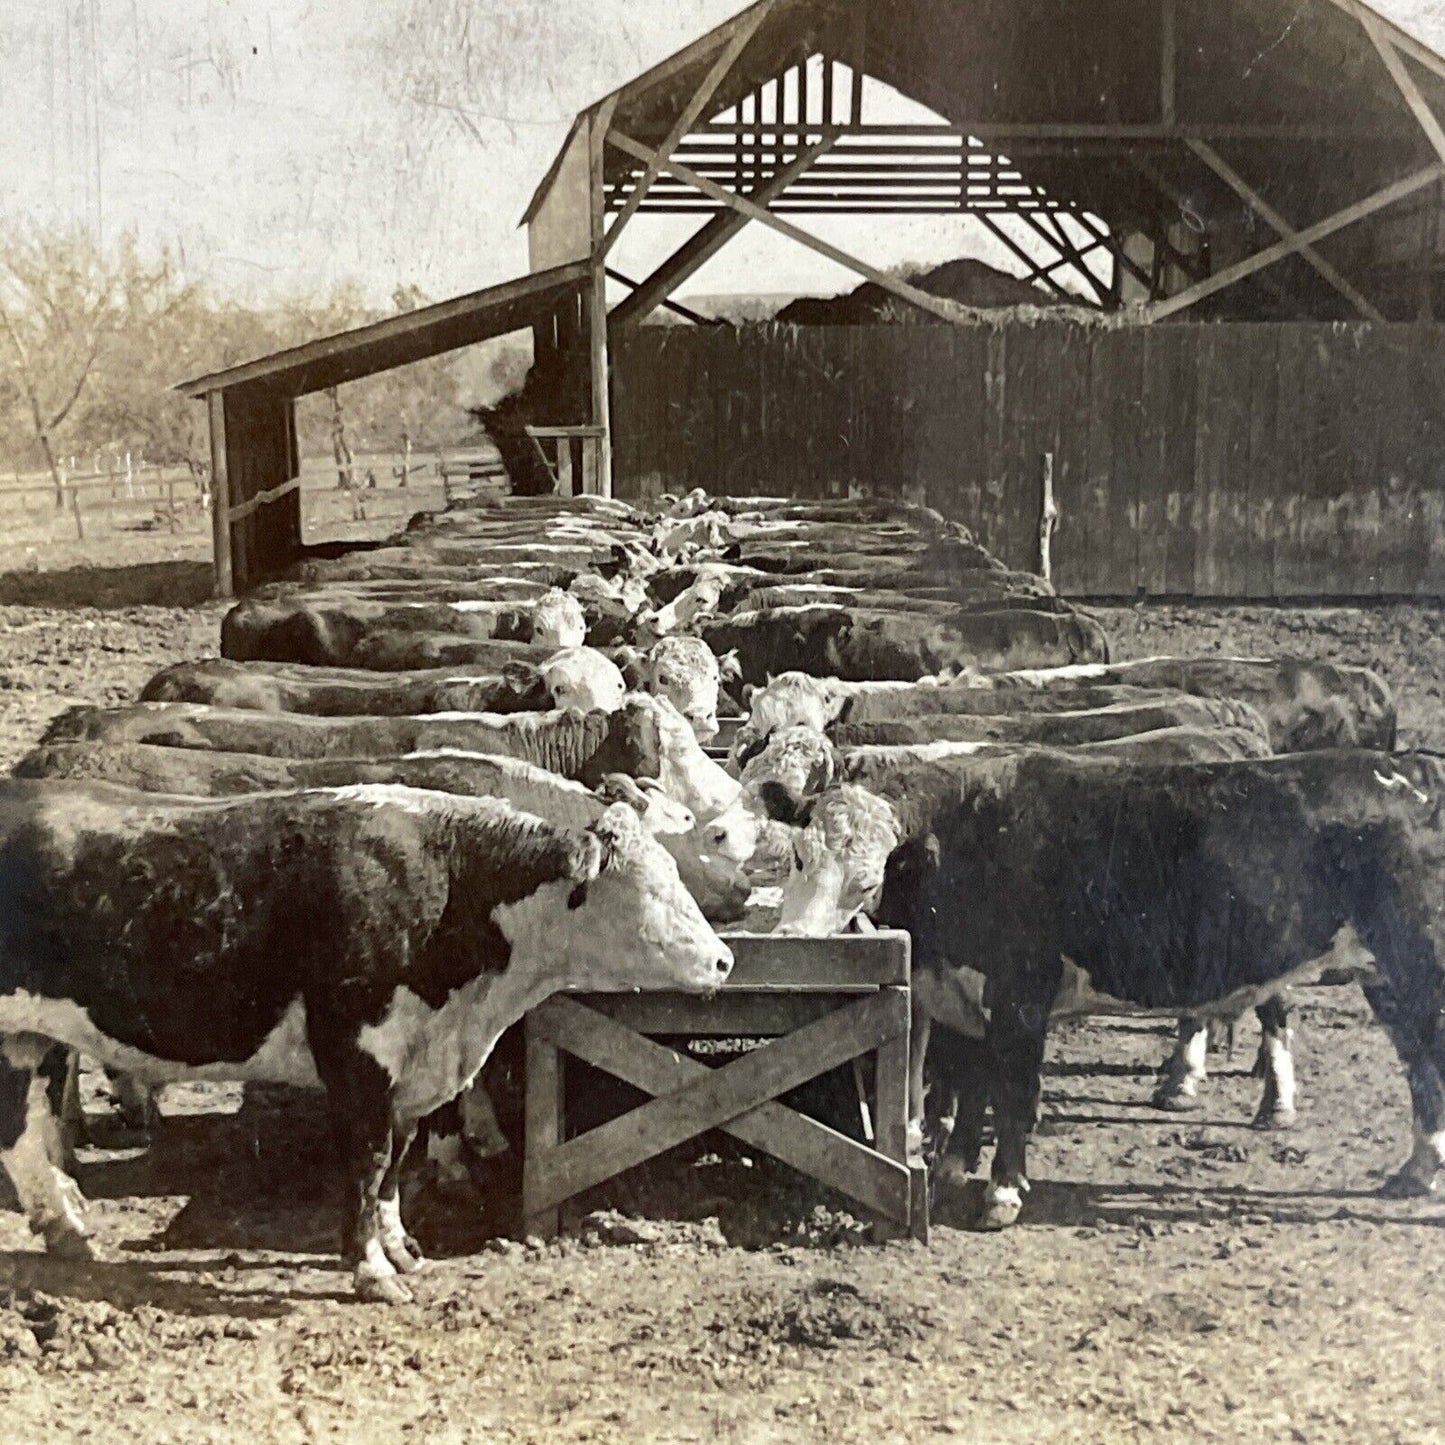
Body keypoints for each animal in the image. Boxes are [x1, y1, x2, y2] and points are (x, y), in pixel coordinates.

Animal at [0, 786, 728, 1306]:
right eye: (648, 890)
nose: (723, 960)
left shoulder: (412, 1072)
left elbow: (396, 1164)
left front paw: (400, 1244)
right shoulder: (358, 1057)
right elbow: (367, 1160)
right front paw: (372, 1270)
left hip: (33, 1037)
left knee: (30, 1122)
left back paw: (66, 1223)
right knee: (17, 1131)